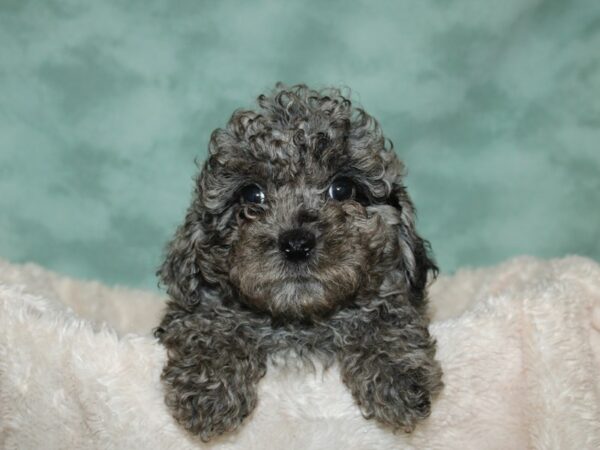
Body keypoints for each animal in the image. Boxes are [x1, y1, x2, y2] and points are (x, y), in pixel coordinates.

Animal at [155, 83, 442, 440]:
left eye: (342, 188)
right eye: (251, 195)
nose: (296, 244)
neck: (298, 321)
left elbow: (388, 315)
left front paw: (398, 376)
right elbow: (207, 323)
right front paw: (207, 389)